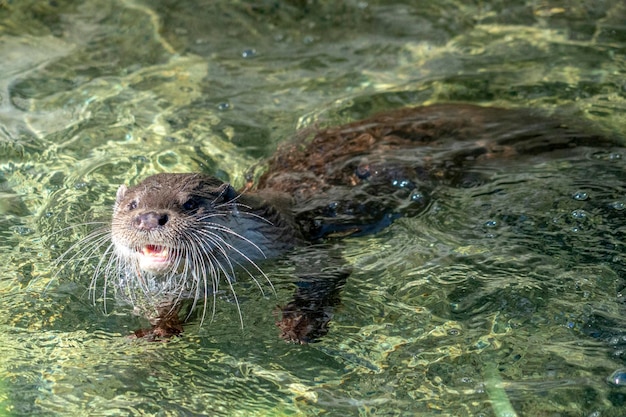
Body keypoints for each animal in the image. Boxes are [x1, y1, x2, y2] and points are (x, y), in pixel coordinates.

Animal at [100, 103, 616, 342]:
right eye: (130, 205)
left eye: (188, 204)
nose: (148, 218)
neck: (256, 250)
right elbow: (177, 304)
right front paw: (158, 329)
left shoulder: (308, 244)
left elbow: (324, 279)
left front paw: (299, 323)